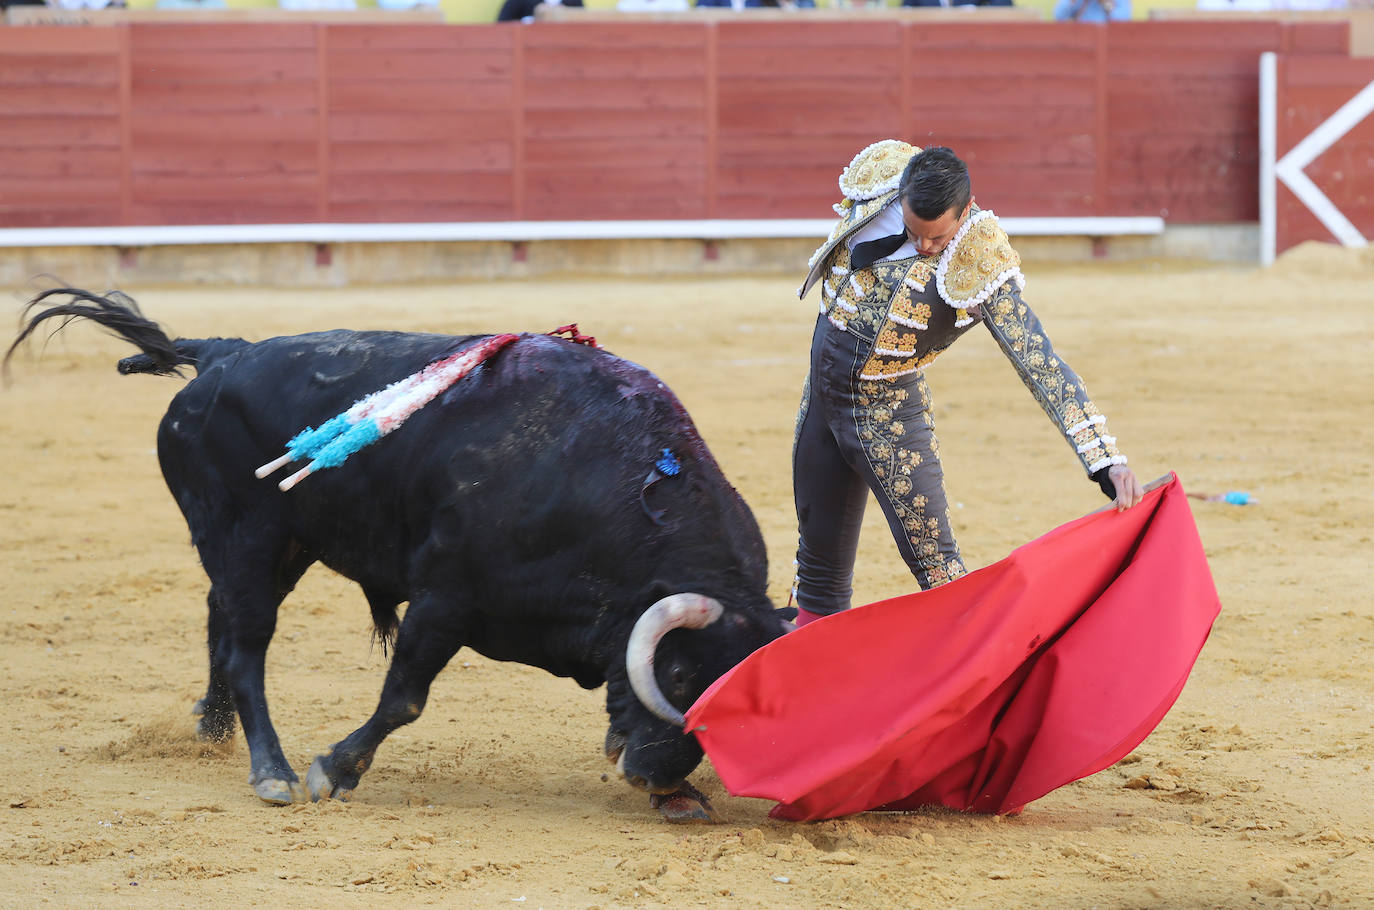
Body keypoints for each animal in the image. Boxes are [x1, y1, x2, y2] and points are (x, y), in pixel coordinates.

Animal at [5, 290, 791, 819]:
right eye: (680, 675)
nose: (656, 776)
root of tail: (226, 352)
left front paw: (685, 795)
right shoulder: (445, 600)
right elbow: (404, 697)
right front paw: (333, 771)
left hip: (277, 546)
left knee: (217, 618)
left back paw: (211, 729)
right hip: (249, 538)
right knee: (245, 645)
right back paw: (271, 771)